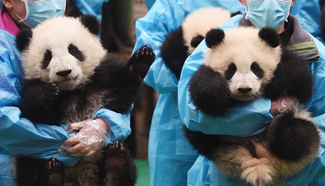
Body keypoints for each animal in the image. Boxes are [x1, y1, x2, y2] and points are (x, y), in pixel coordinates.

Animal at [13, 14, 154, 186]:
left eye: (73, 50)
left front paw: (142, 59)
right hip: (31, 158)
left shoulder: (104, 75)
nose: (64, 72)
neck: (74, 90)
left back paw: (115, 162)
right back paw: (53, 174)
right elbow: (30, 114)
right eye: (48, 56)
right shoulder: (31, 86)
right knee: (29, 167)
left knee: (124, 168)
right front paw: (45, 92)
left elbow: (120, 99)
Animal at [184, 26, 320, 185]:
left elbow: (301, 80)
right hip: (218, 139)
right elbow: (201, 88)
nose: (244, 89)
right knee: (198, 133)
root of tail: (258, 162)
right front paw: (215, 90)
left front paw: (276, 83)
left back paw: (281, 125)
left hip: (302, 124)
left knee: (299, 136)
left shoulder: (287, 64)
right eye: (231, 69)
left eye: (255, 68)